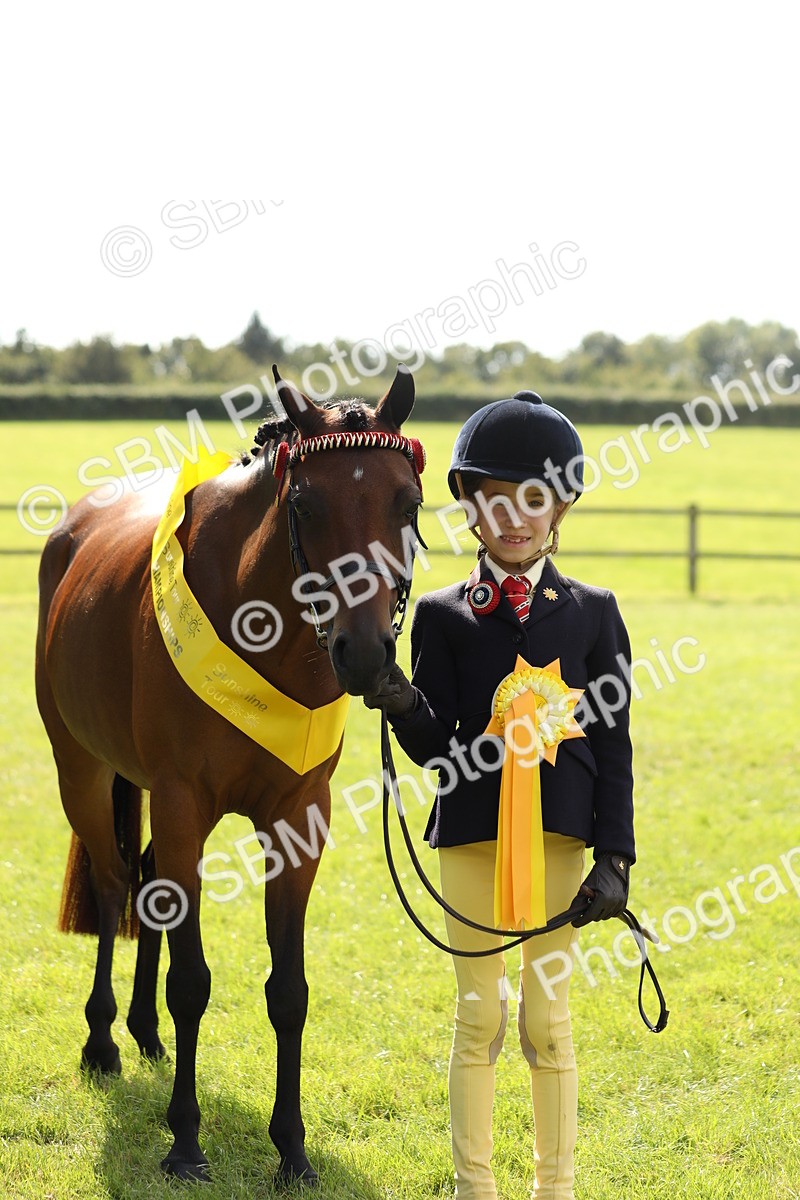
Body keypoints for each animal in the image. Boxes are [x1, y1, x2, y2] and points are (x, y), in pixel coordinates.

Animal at [34, 365, 424, 1185]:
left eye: (407, 501)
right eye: (306, 504)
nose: (366, 654)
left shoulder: (299, 819)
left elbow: (290, 990)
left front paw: (293, 1149)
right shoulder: (183, 803)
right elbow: (193, 982)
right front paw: (184, 1139)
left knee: (147, 883)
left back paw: (143, 1031)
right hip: (80, 770)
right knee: (116, 885)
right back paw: (103, 1040)